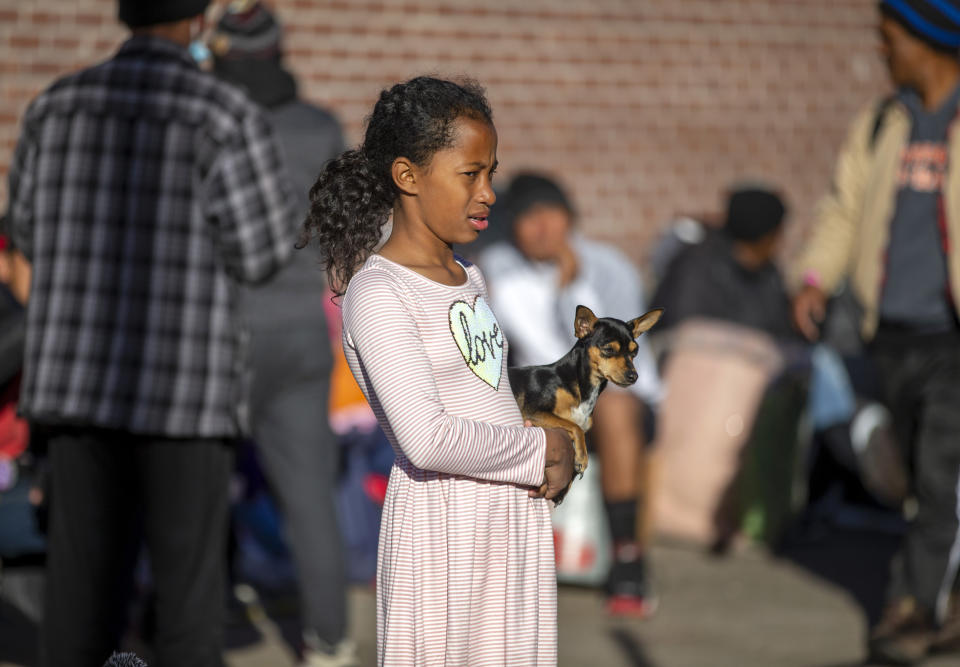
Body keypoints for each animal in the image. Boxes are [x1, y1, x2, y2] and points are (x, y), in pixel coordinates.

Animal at [510, 306, 660, 498]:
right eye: (609, 349)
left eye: (635, 352)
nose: (633, 376)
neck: (578, 387)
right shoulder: (533, 412)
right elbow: (576, 428)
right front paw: (582, 458)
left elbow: (575, 435)